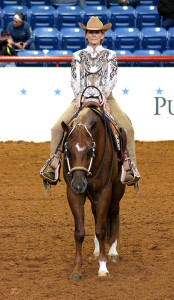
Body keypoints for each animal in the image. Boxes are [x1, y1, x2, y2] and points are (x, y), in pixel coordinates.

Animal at [61, 103, 125, 282]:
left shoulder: (104, 191)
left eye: (91, 150)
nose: (78, 184)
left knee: (114, 212)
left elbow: (101, 229)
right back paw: (96, 251)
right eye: (67, 150)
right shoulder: (73, 194)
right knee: (96, 213)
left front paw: (103, 268)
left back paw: (112, 252)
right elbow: (79, 232)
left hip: (117, 189)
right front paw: (76, 270)